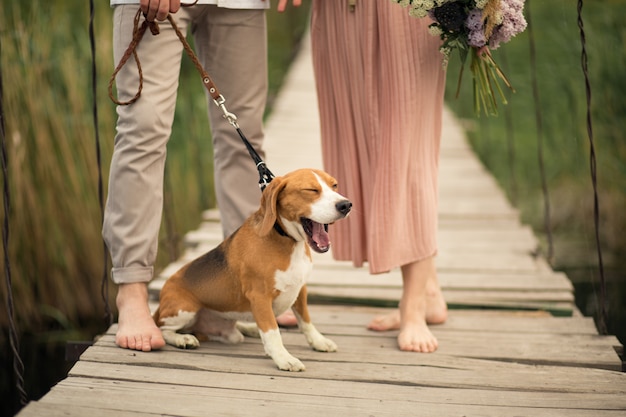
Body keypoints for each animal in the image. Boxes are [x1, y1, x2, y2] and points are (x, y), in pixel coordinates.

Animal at [153, 167, 352, 368]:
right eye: (311, 190)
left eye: (334, 185)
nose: (346, 205)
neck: (286, 239)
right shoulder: (260, 297)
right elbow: (272, 332)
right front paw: (283, 358)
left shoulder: (300, 289)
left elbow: (306, 321)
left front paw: (318, 341)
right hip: (184, 309)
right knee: (163, 328)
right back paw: (182, 339)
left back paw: (249, 327)